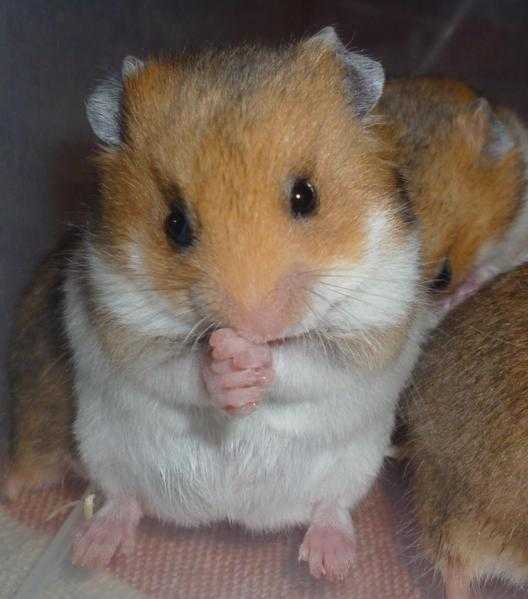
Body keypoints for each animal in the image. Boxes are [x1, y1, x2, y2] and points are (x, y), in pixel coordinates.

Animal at [3, 29, 424, 580]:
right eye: (175, 224)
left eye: (306, 196)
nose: (254, 323)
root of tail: (230, 516)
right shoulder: (120, 316)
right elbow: (179, 367)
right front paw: (229, 362)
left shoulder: (375, 321)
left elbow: (305, 362)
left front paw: (250, 359)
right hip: (103, 450)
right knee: (124, 500)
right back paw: (91, 549)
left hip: (356, 465)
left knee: (331, 506)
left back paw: (329, 563)